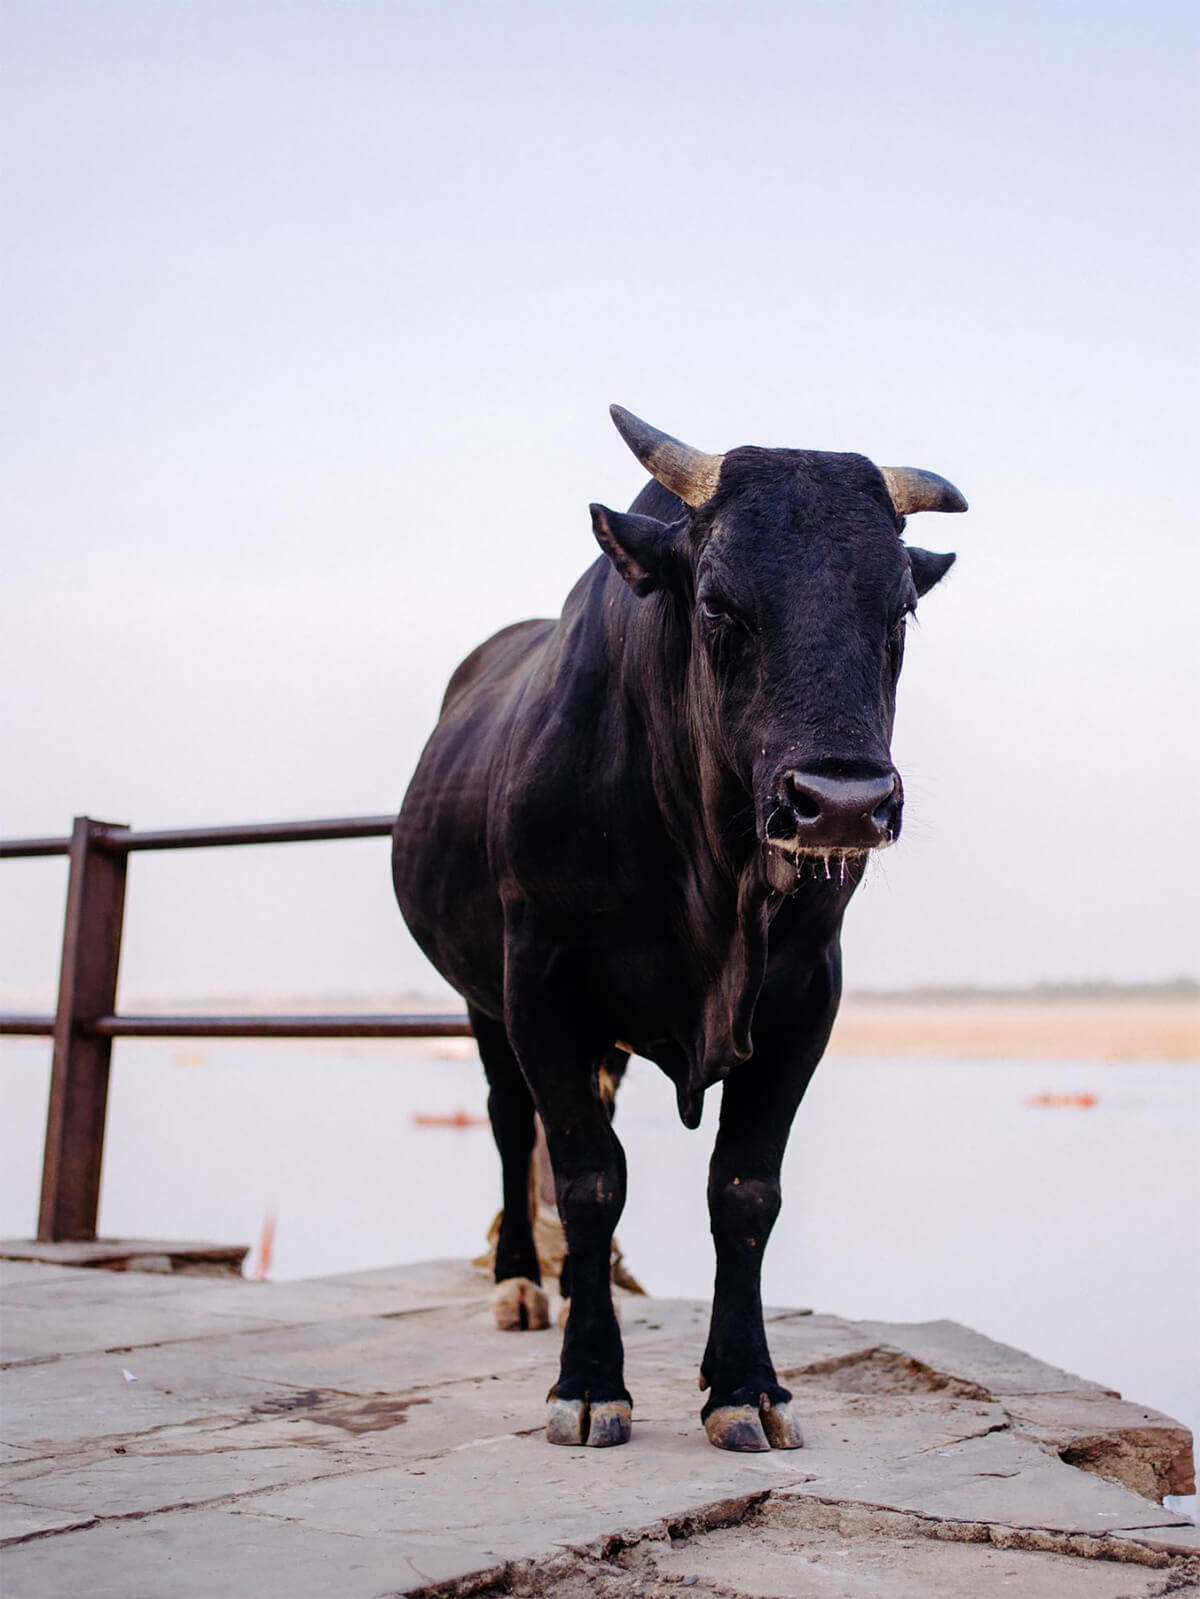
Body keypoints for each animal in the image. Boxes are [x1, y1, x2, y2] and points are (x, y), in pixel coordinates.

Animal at [395, 409, 966, 1451]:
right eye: (715, 602)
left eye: (900, 609)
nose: (842, 802)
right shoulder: (541, 983)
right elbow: (587, 1176)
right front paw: (589, 1380)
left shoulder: (806, 994)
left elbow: (744, 1189)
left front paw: (744, 1382)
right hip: (482, 999)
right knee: (509, 1122)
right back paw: (522, 1283)